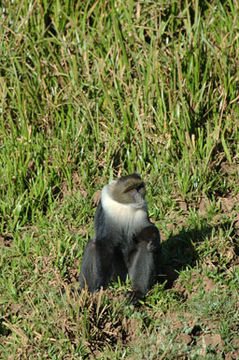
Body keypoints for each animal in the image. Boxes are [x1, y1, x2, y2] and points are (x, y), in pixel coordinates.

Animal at [79, 173, 161, 302]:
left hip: (129, 273)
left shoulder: (142, 212)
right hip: (115, 274)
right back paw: (87, 294)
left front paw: (155, 239)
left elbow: (145, 231)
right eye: (131, 189)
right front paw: (101, 285)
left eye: (139, 188)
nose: (139, 197)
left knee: (145, 245)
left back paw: (137, 292)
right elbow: (104, 244)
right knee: (93, 245)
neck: (125, 206)